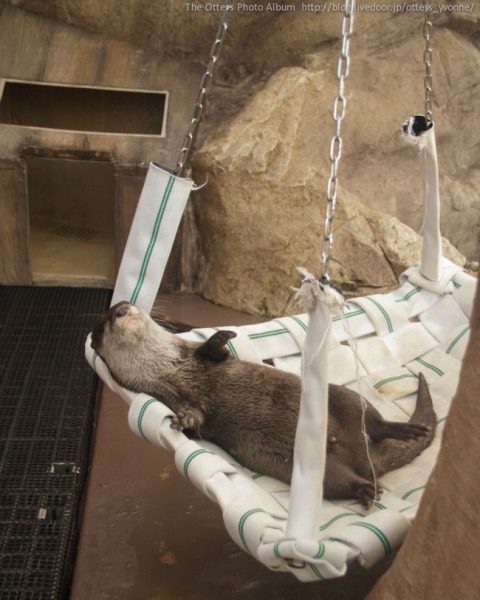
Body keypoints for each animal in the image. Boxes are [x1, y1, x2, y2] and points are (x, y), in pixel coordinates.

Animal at [92, 300, 436, 506]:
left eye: (123, 305)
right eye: (104, 321)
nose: (121, 308)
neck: (171, 368)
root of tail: (367, 459)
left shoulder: (197, 356)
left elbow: (216, 353)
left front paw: (220, 336)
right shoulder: (169, 396)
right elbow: (196, 419)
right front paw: (183, 421)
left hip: (344, 398)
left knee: (373, 420)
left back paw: (403, 430)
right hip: (319, 473)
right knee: (340, 482)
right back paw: (366, 489)